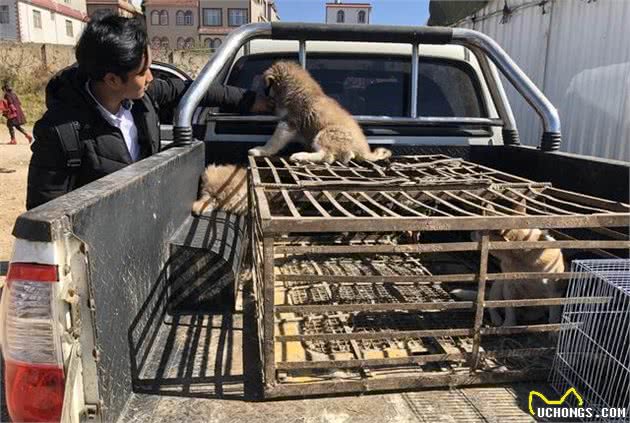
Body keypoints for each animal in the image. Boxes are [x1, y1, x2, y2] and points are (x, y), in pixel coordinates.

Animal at [249, 61, 392, 164]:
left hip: (326, 133)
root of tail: (364, 151)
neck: (297, 91)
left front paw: (261, 150)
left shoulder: (289, 122)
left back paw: (301, 156)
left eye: (263, 88)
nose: (256, 104)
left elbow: (274, 141)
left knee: (327, 156)